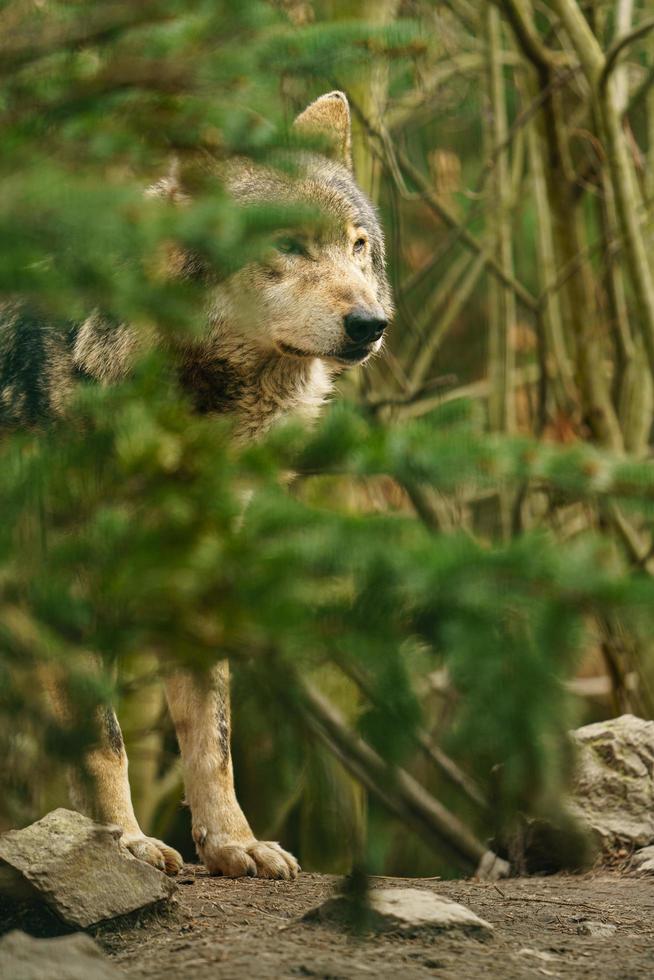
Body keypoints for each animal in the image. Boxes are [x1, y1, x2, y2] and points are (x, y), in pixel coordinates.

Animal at [0, 94, 394, 880]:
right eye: (288, 246)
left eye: (357, 246)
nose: (371, 323)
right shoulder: (61, 589)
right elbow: (107, 741)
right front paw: (122, 843)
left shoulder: (193, 578)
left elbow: (212, 740)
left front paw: (234, 844)